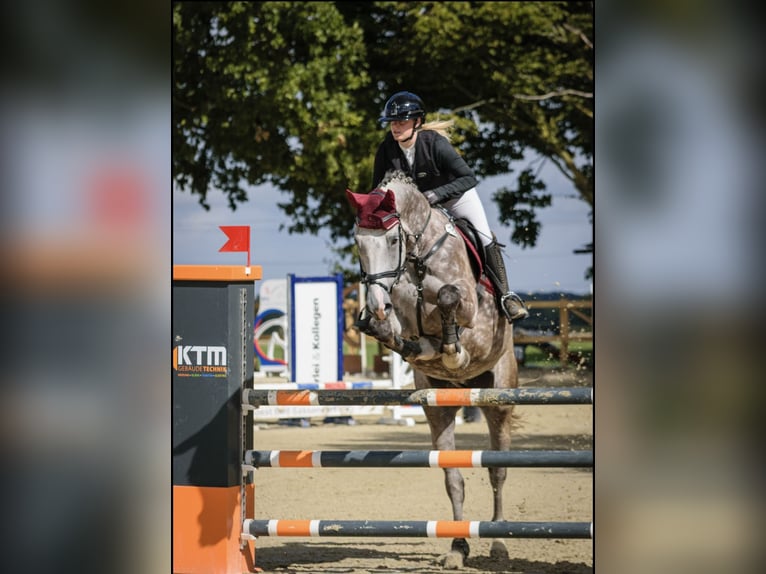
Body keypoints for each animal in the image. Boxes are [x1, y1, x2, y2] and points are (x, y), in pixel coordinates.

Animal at [346, 170, 519, 569]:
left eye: (393, 238)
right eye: (358, 243)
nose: (375, 304)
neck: (417, 260)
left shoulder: (472, 315)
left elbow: (449, 299)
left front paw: (452, 350)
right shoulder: (401, 319)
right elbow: (398, 334)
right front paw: (393, 334)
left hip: (498, 400)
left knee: (498, 470)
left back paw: (498, 542)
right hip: (439, 409)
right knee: (453, 477)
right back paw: (457, 548)